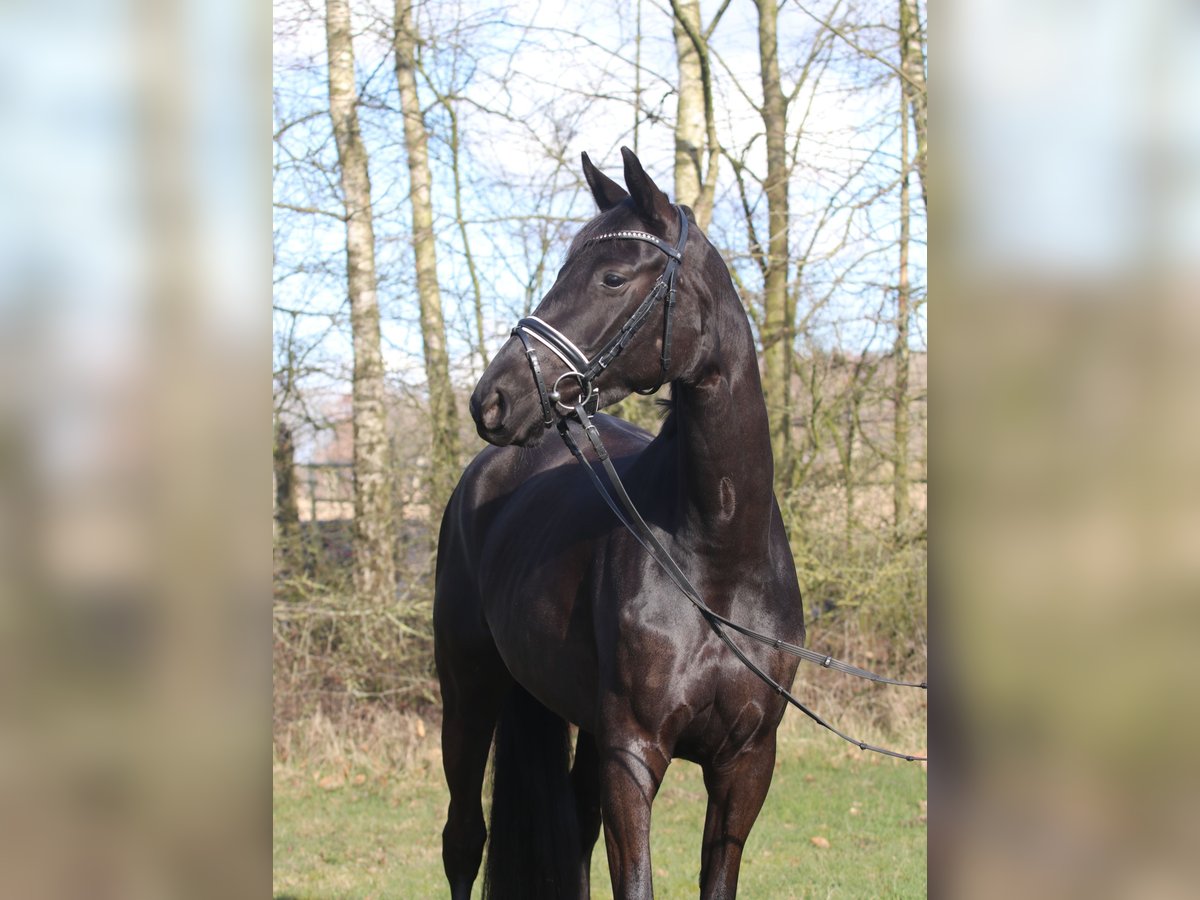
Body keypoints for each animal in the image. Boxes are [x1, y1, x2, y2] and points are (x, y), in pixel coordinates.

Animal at [434, 151, 806, 897]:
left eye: (611, 275)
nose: (493, 399)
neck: (716, 556)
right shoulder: (632, 755)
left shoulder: (746, 764)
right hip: (466, 693)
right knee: (463, 841)